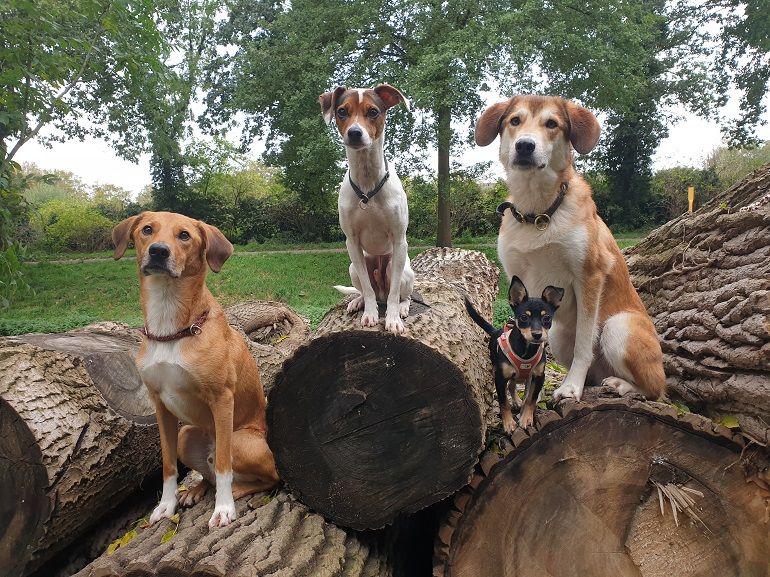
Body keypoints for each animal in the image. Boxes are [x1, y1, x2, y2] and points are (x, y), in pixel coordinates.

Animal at [112, 210, 280, 528]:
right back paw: (195, 490)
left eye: (184, 235)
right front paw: (167, 505)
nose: (158, 251)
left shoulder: (222, 399)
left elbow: (225, 465)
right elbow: (167, 465)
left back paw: (236, 492)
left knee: (265, 477)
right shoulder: (160, 406)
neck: (169, 329)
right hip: (186, 435)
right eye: (147, 230)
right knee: (209, 475)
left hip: (241, 440)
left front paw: (223, 509)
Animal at [464, 276, 560, 432]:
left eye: (547, 318)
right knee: (510, 386)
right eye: (523, 317)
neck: (526, 350)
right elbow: (503, 402)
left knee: (513, 386)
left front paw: (526, 418)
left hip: (521, 376)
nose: (537, 335)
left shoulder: (539, 376)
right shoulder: (500, 378)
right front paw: (508, 424)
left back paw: (518, 402)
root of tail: (495, 330)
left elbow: (531, 399)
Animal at [472, 94, 664, 400]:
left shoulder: (589, 277)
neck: (538, 212)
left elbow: (584, 344)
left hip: (617, 327)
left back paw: (621, 384)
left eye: (552, 124)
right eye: (515, 120)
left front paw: (571, 386)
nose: (525, 145)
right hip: (559, 335)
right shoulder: (520, 277)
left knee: (656, 388)